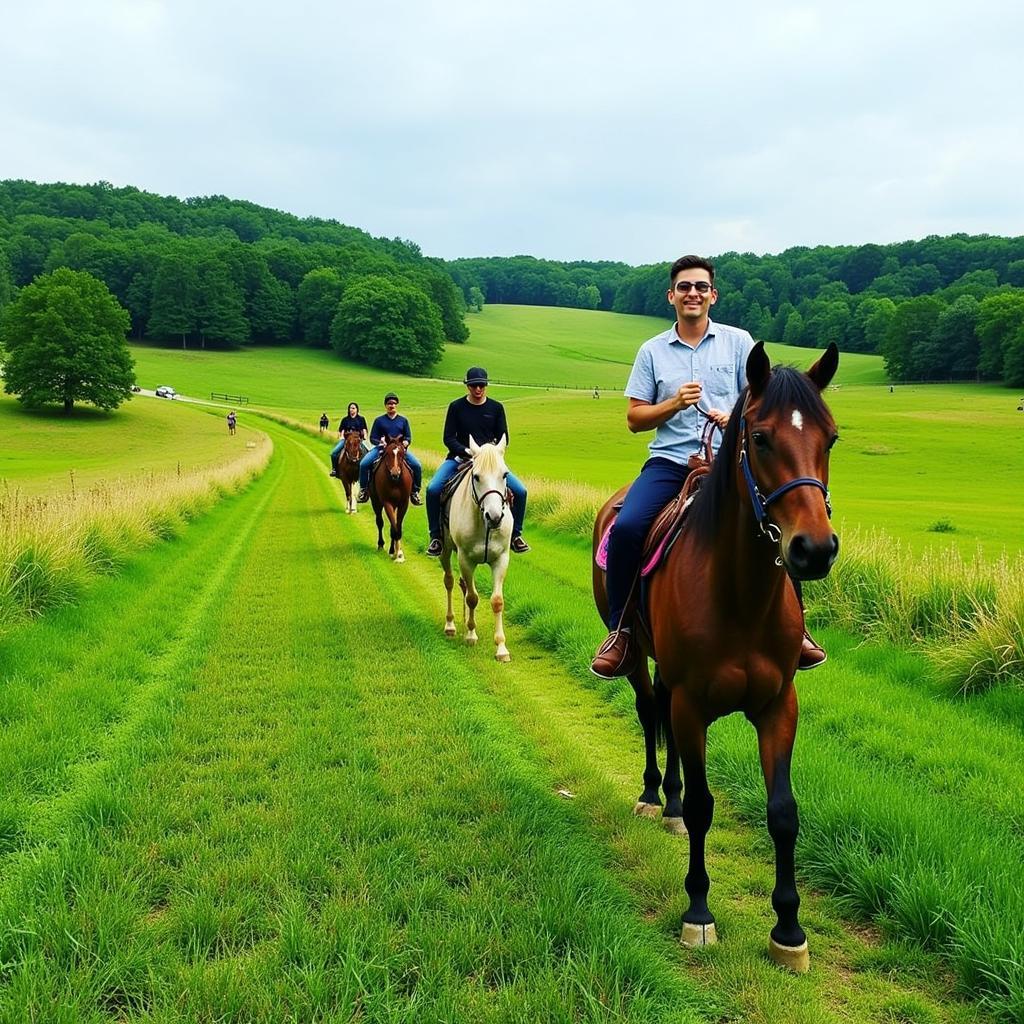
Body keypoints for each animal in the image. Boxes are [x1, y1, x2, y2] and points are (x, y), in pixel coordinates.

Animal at [372, 430, 411, 561]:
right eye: (387, 453)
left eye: (401, 454)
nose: (395, 473)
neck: (395, 482)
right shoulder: (387, 503)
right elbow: (393, 527)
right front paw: (397, 554)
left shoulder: (403, 503)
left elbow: (397, 527)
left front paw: (398, 553)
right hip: (376, 502)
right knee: (379, 522)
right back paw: (381, 545)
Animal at [442, 434, 516, 663]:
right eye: (476, 476)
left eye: (504, 474)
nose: (495, 517)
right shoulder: (465, 560)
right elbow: (473, 598)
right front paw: (471, 634)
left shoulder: (501, 559)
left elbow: (497, 601)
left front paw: (501, 648)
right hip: (445, 551)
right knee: (449, 582)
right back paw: (450, 625)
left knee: (462, 585)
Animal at [593, 342, 839, 966]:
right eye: (762, 439)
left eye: (830, 438)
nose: (815, 549)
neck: (739, 596)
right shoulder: (693, 703)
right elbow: (707, 805)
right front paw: (698, 911)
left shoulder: (778, 705)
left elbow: (783, 812)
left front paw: (789, 930)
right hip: (639, 661)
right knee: (648, 710)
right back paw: (654, 795)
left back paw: (671, 807)